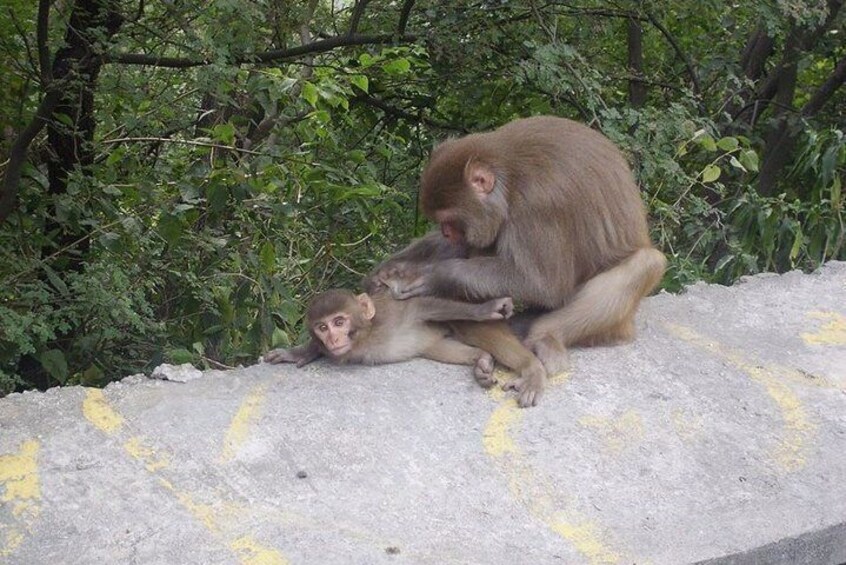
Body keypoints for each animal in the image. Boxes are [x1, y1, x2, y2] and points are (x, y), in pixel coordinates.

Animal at [262, 288, 548, 396]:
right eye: (322, 327)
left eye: (339, 322)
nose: (333, 338)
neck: (367, 336)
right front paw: (298, 352)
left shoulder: (392, 313)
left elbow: (423, 305)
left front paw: (486, 308)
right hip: (433, 343)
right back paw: (481, 360)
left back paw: (532, 369)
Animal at [367, 115, 667, 407]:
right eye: (441, 223)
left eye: (449, 220)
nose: (446, 233)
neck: (509, 178)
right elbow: (468, 247)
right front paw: (390, 268)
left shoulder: (538, 205)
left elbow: (542, 283)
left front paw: (433, 276)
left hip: (615, 321)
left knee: (648, 262)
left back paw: (546, 338)